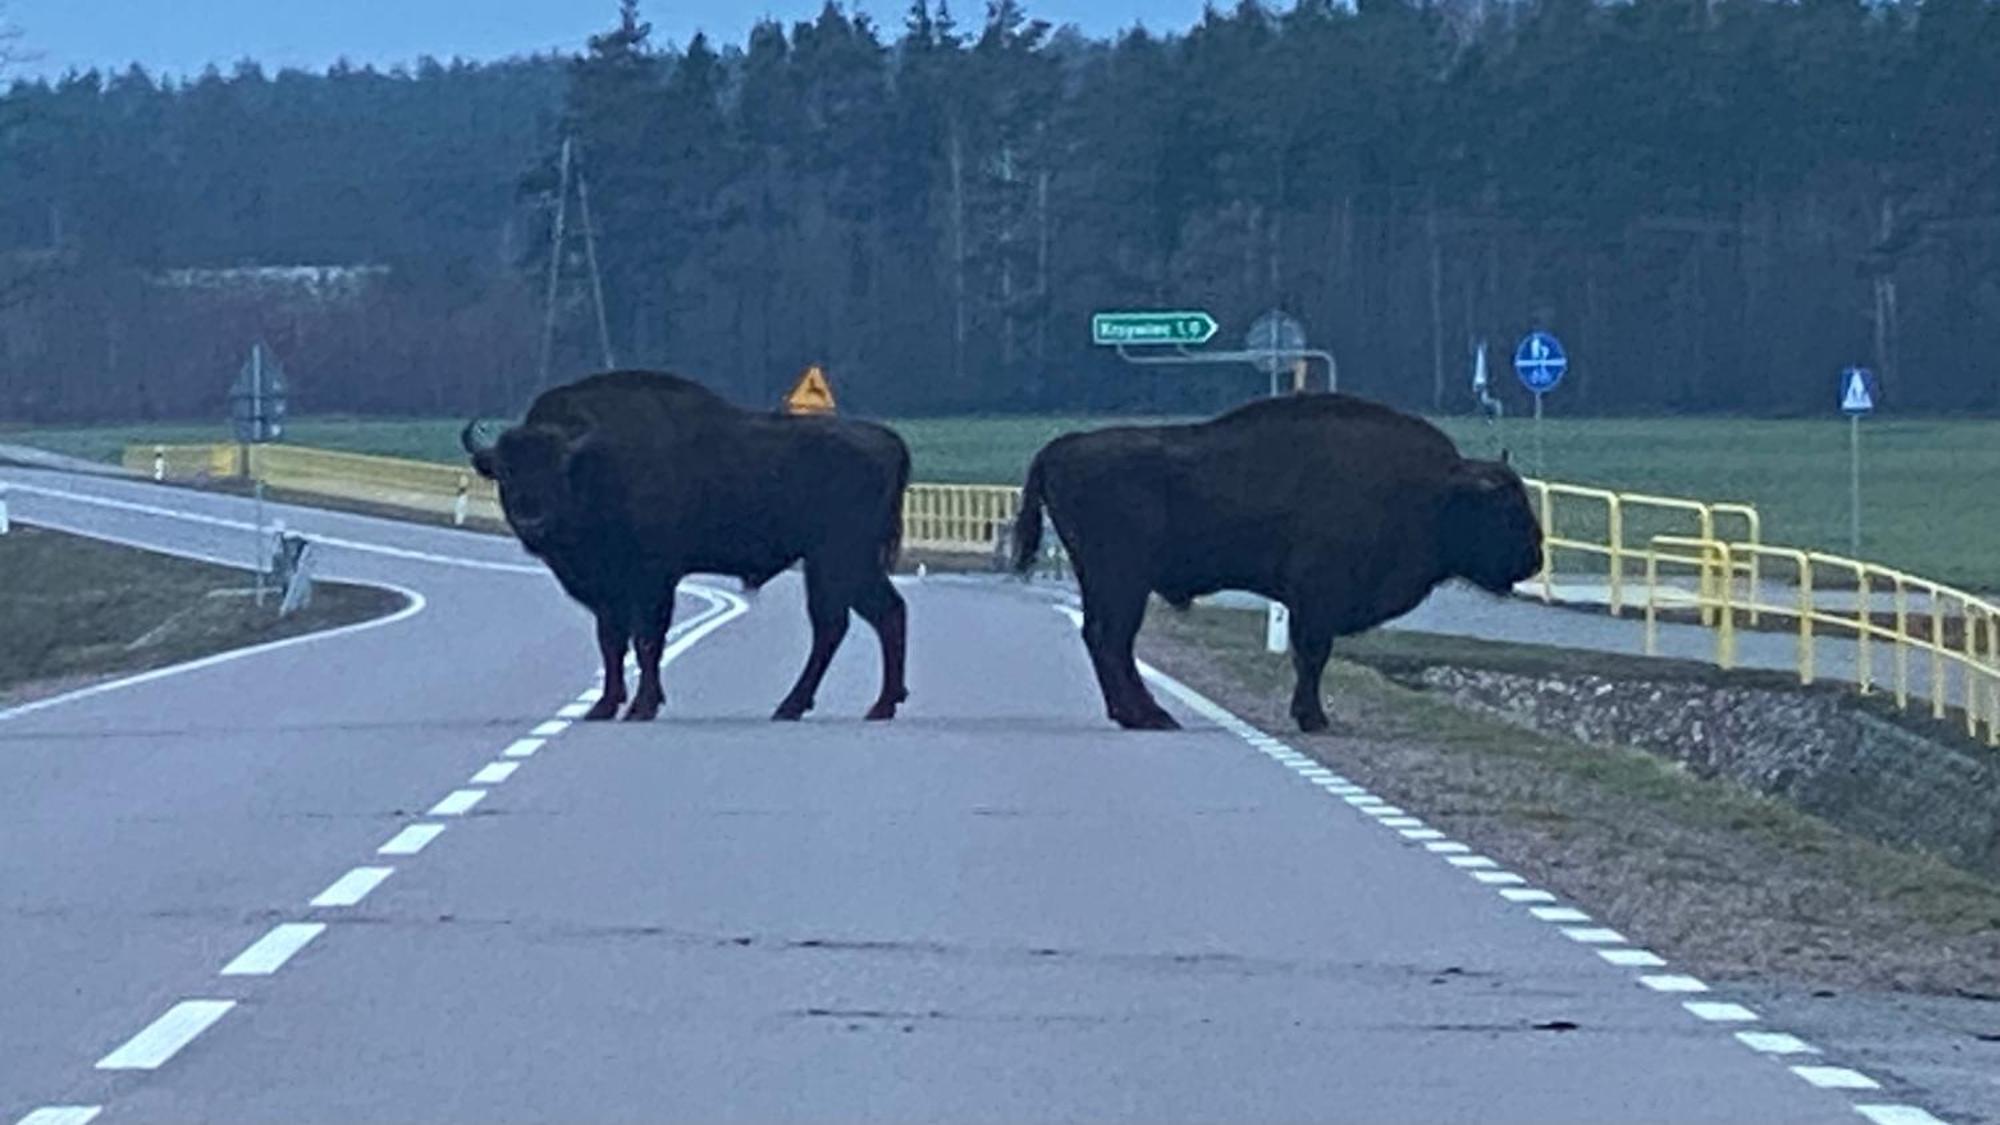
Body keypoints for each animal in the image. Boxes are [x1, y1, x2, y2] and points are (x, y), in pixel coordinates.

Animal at [464, 368, 912, 716]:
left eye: (558, 468)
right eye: (505, 471)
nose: (532, 519)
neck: (596, 461)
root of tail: (887, 441)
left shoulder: (652, 579)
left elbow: (647, 640)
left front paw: (642, 707)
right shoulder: (609, 590)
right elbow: (611, 642)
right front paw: (604, 706)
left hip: (837, 560)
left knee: (842, 623)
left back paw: (813, 706)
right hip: (845, 564)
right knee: (879, 615)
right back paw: (869, 704)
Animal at [1016, 390, 1544, 732]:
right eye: (1505, 509)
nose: (1534, 558)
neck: (1434, 490)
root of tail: (1062, 447)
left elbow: (1309, 655)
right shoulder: (1318, 598)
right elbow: (1312, 654)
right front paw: (1313, 719)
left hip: (1104, 581)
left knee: (1103, 639)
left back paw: (1136, 715)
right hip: (1122, 580)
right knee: (1112, 640)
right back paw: (1151, 717)